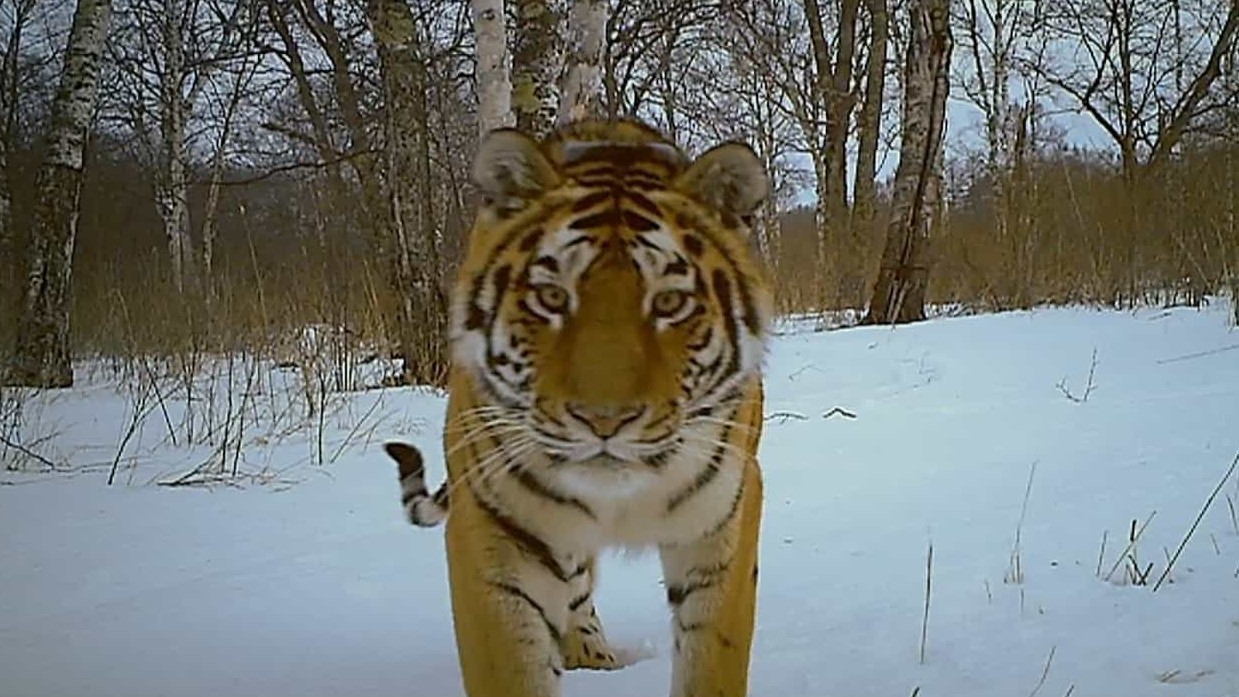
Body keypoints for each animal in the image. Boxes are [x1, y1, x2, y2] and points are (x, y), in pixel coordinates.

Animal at [384, 117, 773, 697]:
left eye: (669, 303)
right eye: (551, 297)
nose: (604, 421)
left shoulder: (723, 521)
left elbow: (713, 661)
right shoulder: (493, 531)